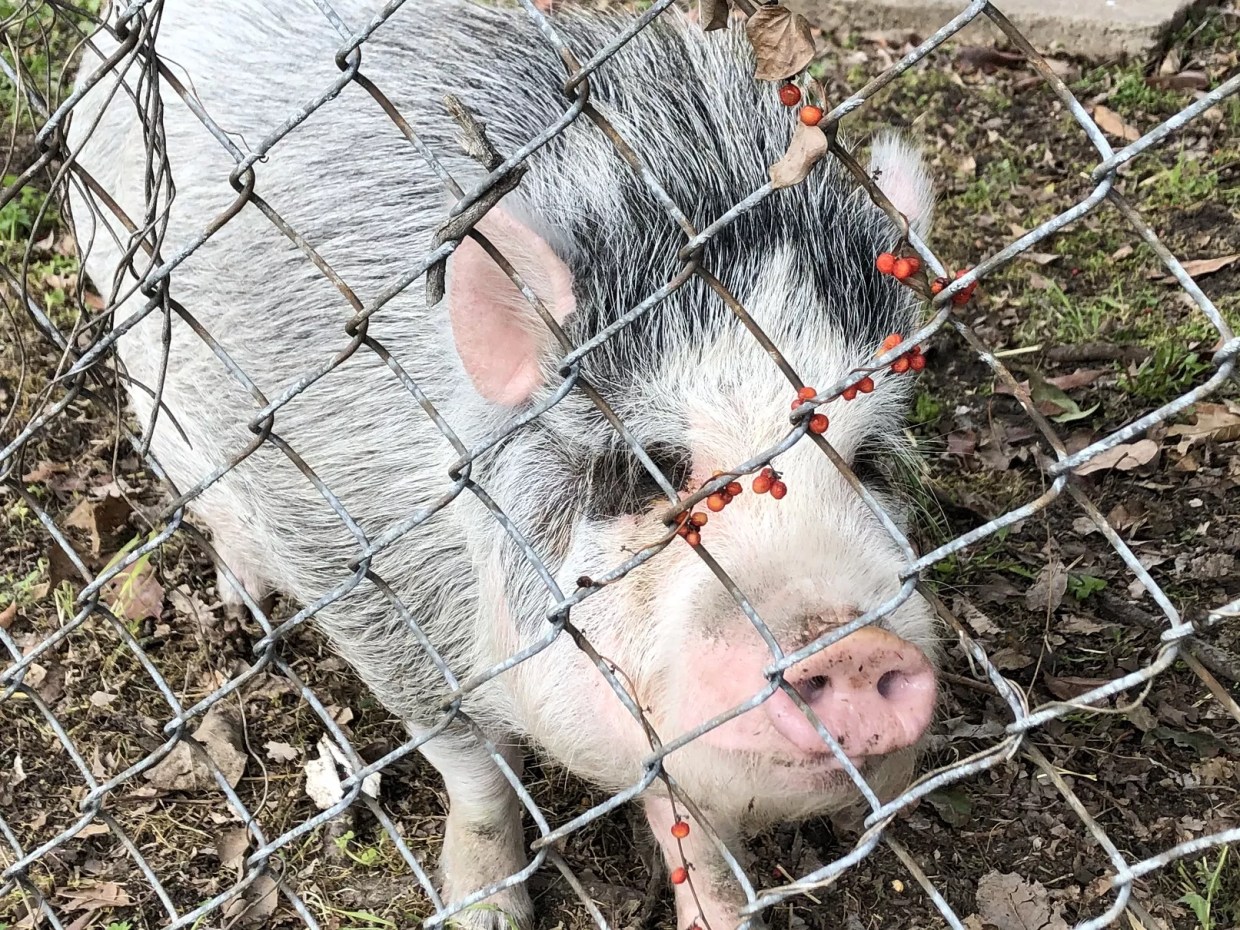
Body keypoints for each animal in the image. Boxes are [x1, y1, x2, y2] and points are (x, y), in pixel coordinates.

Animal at [66, 0, 941, 927]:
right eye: (646, 470)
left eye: (867, 461)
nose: (855, 648)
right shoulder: (369, 583)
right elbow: (472, 765)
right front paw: (482, 910)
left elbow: (693, 828)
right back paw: (244, 602)